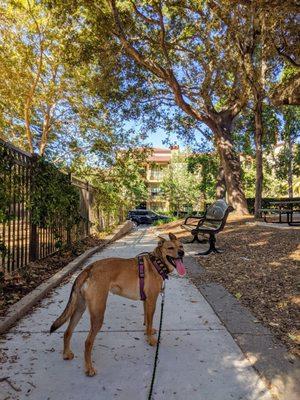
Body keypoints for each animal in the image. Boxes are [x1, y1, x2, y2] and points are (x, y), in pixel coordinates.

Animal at [49, 233, 185, 376]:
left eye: (181, 246)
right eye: (170, 248)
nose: (182, 253)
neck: (157, 262)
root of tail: (89, 269)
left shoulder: (146, 301)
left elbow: (147, 321)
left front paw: (148, 332)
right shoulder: (152, 301)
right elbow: (150, 320)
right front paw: (151, 340)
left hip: (79, 308)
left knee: (67, 332)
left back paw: (66, 354)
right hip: (98, 313)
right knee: (88, 342)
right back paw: (89, 368)